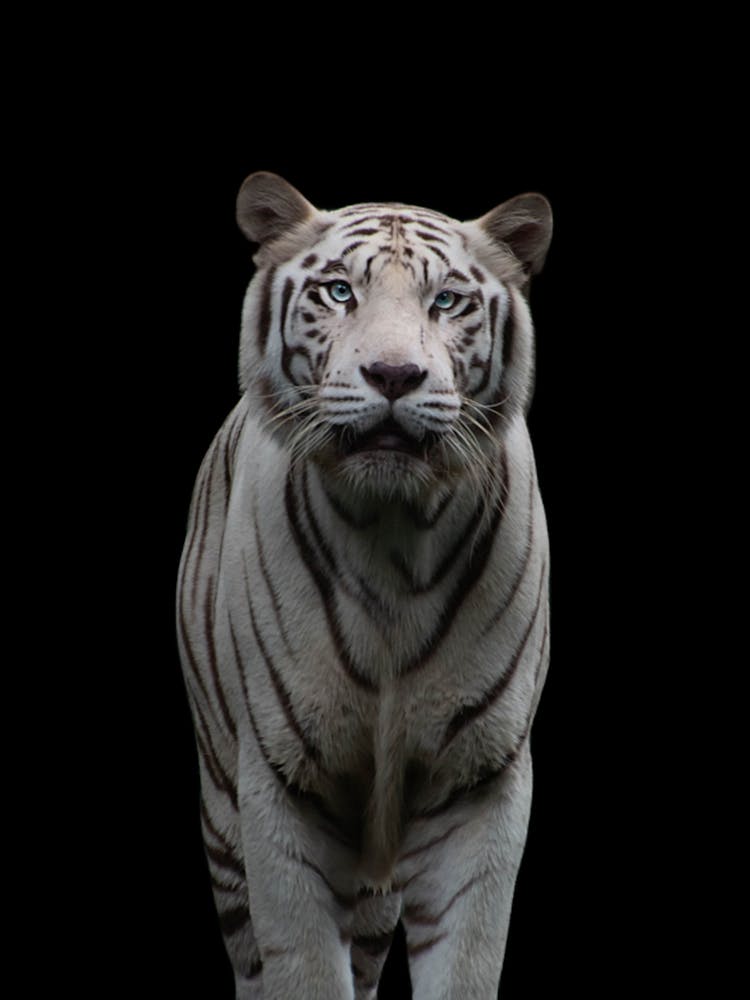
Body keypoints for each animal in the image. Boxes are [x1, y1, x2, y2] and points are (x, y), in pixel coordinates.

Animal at [176, 171, 552, 999]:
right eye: (340, 292)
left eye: (447, 300)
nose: (393, 376)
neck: (394, 539)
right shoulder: (281, 783)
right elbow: (304, 966)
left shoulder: (480, 781)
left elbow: (466, 962)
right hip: (222, 813)